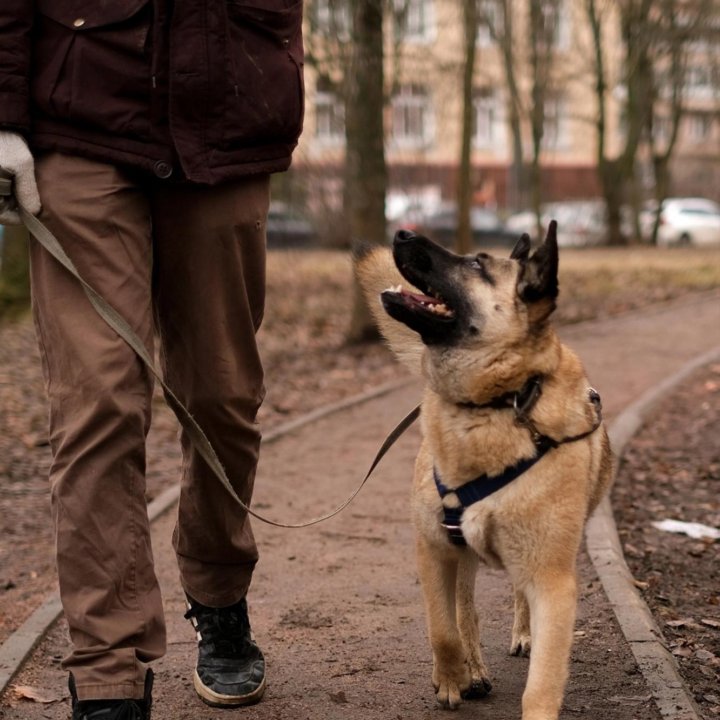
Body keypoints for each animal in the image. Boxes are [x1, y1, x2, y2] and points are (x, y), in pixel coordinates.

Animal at [358, 222, 612, 716]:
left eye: (477, 264)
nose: (402, 232)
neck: (498, 403)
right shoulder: (434, 549)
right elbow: (442, 628)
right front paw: (453, 678)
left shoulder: (553, 582)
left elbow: (543, 683)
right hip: (461, 552)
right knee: (464, 607)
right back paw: (473, 667)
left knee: (513, 595)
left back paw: (520, 635)